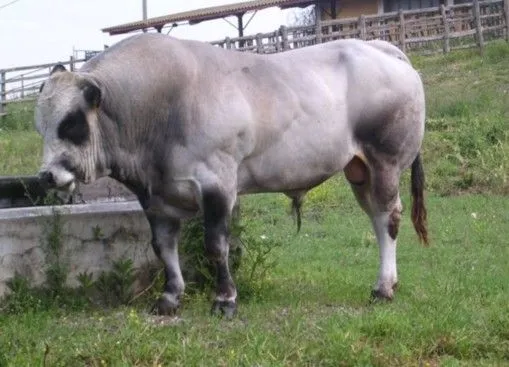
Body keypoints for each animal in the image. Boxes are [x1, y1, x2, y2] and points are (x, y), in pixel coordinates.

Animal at [34, 33, 424, 318]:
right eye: (41, 126)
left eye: (71, 123)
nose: (47, 176)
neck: (159, 105)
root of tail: (380, 47)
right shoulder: (155, 198)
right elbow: (163, 247)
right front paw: (170, 297)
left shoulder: (217, 183)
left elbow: (215, 245)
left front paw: (224, 300)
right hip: (359, 170)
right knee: (376, 219)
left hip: (385, 162)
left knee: (388, 219)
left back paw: (383, 287)